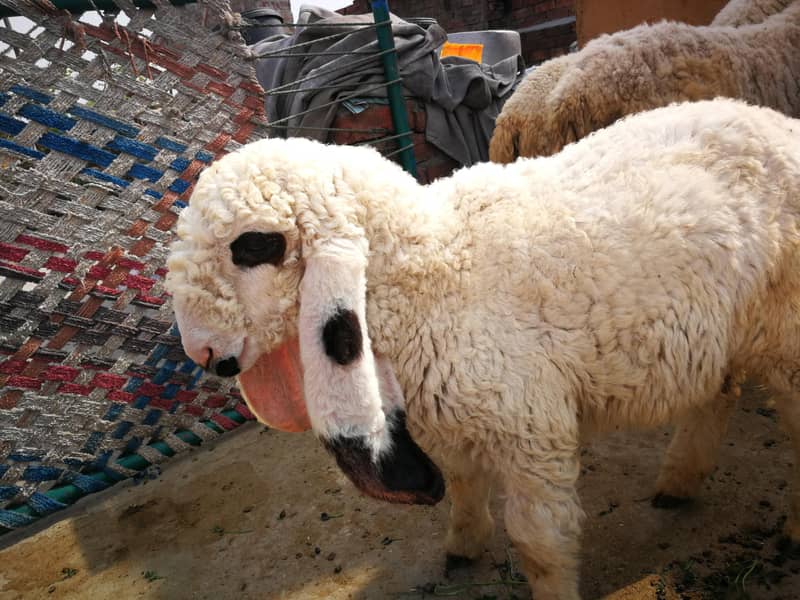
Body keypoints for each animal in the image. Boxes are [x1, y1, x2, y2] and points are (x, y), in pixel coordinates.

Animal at [165, 99, 800, 599]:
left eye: (253, 246)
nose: (205, 355)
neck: (438, 267)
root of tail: (775, 120)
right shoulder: (454, 420)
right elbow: (465, 488)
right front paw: (463, 548)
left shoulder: (530, 428)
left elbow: (540, 541)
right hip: (722, 330)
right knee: (718, 392)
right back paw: (678, 483)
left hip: (788, 337)